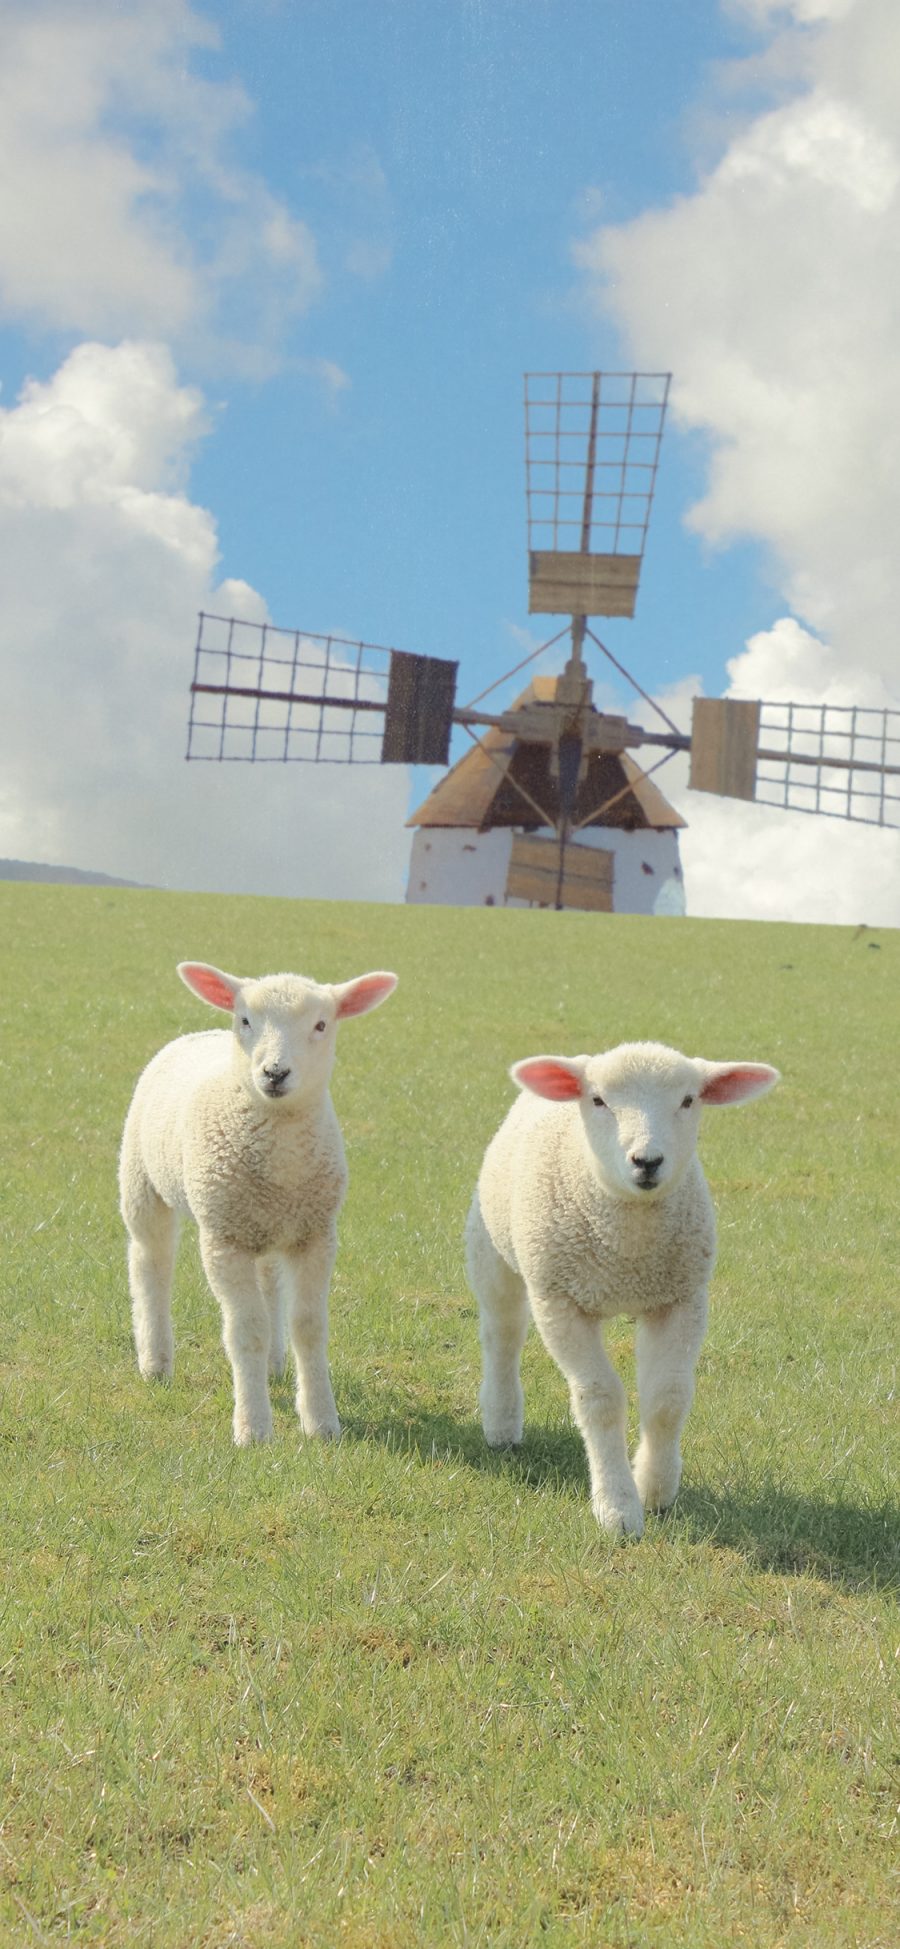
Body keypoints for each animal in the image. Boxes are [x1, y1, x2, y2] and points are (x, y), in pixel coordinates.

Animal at [118, 962, 397, 1450]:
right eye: (246, 1020)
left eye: (321, 1025)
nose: (274, 1073)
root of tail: (199, 1033)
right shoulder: (223, 1239)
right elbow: (245, 1331)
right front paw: (253, 1429)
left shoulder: (316, 1235)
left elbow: (309, 1327)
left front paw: (322, 1422)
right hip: (143, 1180)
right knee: (150, 1264)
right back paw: (155, 1361)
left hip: (265, 1226)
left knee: (269, 1284)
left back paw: (273, 1366)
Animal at [467, 1036, 775, 1535]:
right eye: (598, 1100)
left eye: (688, 1100)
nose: (647, 1161)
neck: (627, 1250)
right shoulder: (560, 1301)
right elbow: (600, 1399)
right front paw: (617, 1508)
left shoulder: (680, 1299)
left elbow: (667, 1398)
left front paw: (656, 1490)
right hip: (493, 1252)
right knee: (503, 1336)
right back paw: (501, 1422)